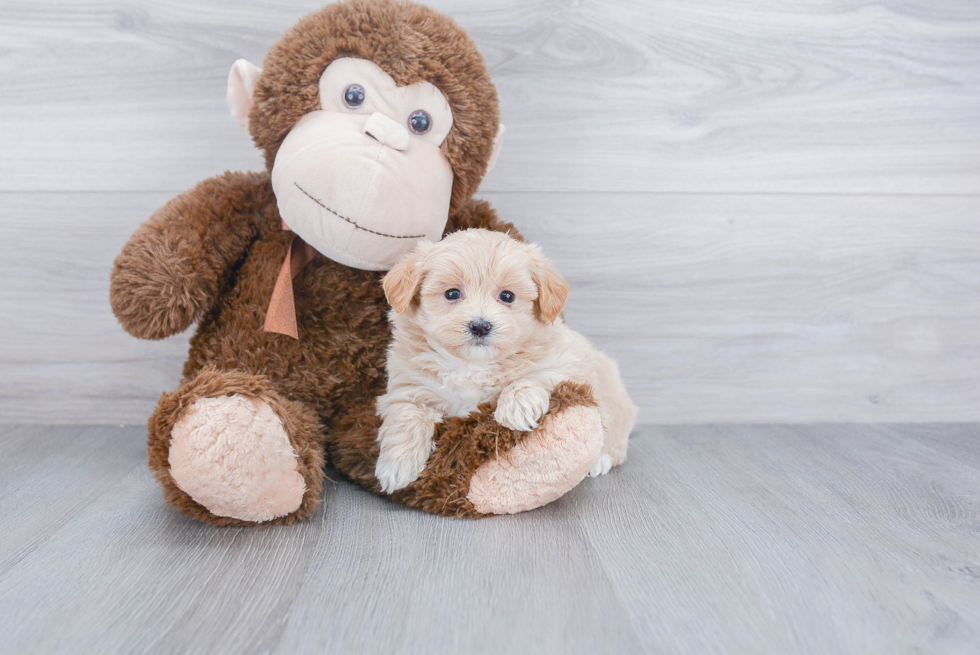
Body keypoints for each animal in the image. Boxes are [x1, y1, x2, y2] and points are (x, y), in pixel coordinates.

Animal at [374, 229, 636, 492]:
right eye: (452, 294)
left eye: (507, 296)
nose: (480, 326)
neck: (471, 364)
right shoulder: (407, 387)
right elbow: (407, 416)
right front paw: (396, 466)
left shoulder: (566, 361)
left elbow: (536, 375)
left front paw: (516, 407)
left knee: (616, 442)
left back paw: (600, 461)